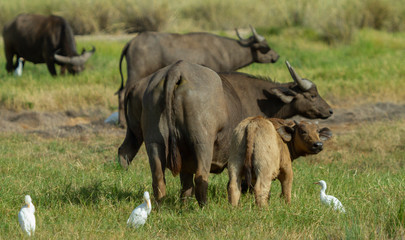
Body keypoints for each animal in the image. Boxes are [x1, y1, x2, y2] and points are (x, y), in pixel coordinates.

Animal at [116, 25, 280, 127]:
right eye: (265, 47)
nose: (276, 56)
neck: (225, 51)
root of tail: (132, 42)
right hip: (135, 73)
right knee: (123, 93)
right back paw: (123, 123)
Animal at [119, 60, 332, 206]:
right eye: (312, 95)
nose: (329, 111)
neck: (257, 98)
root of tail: (176, 71)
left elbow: (185, 182)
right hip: (202, 142)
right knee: (201, 176)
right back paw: (203, 206)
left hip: (150, 140)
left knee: (153, 173)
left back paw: (162, 205)